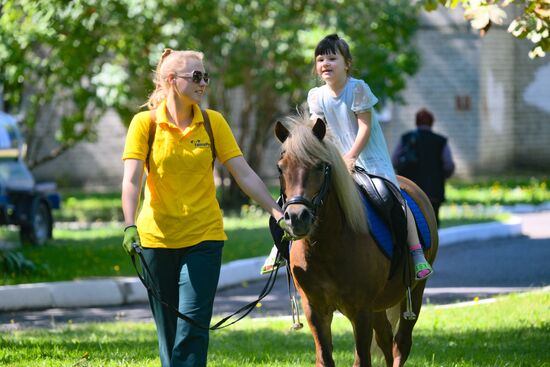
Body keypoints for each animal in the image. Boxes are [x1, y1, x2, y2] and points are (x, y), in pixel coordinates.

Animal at [276, 118, 440, 367]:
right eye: (280, 167)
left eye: (320, 166)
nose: (296, 217)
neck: (327, 246)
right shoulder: (315, 310)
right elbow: (325, 358)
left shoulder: (361, 311)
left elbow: (362, 359)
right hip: (378, 306)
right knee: (385, 338)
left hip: (414, 292)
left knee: (401, 343)